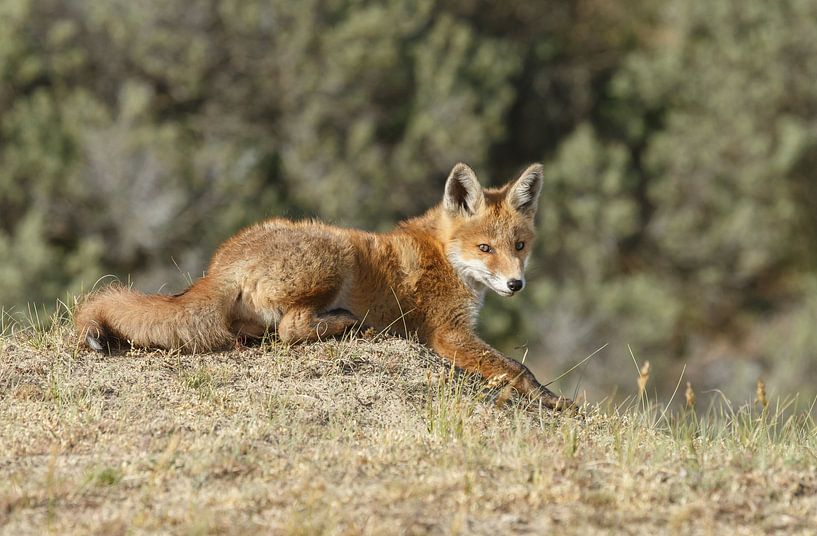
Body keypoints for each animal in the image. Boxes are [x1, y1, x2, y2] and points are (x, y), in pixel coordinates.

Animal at [78, 163, 572, 410]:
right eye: (485, 247)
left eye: (520, 245)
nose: (515, 284)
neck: (443, 255)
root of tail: (222, 263)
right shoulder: (448, 333)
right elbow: (518, 369)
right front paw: (557, 402)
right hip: (336, 255)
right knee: (290, 330)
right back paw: (353, 325)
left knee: (261, 332)